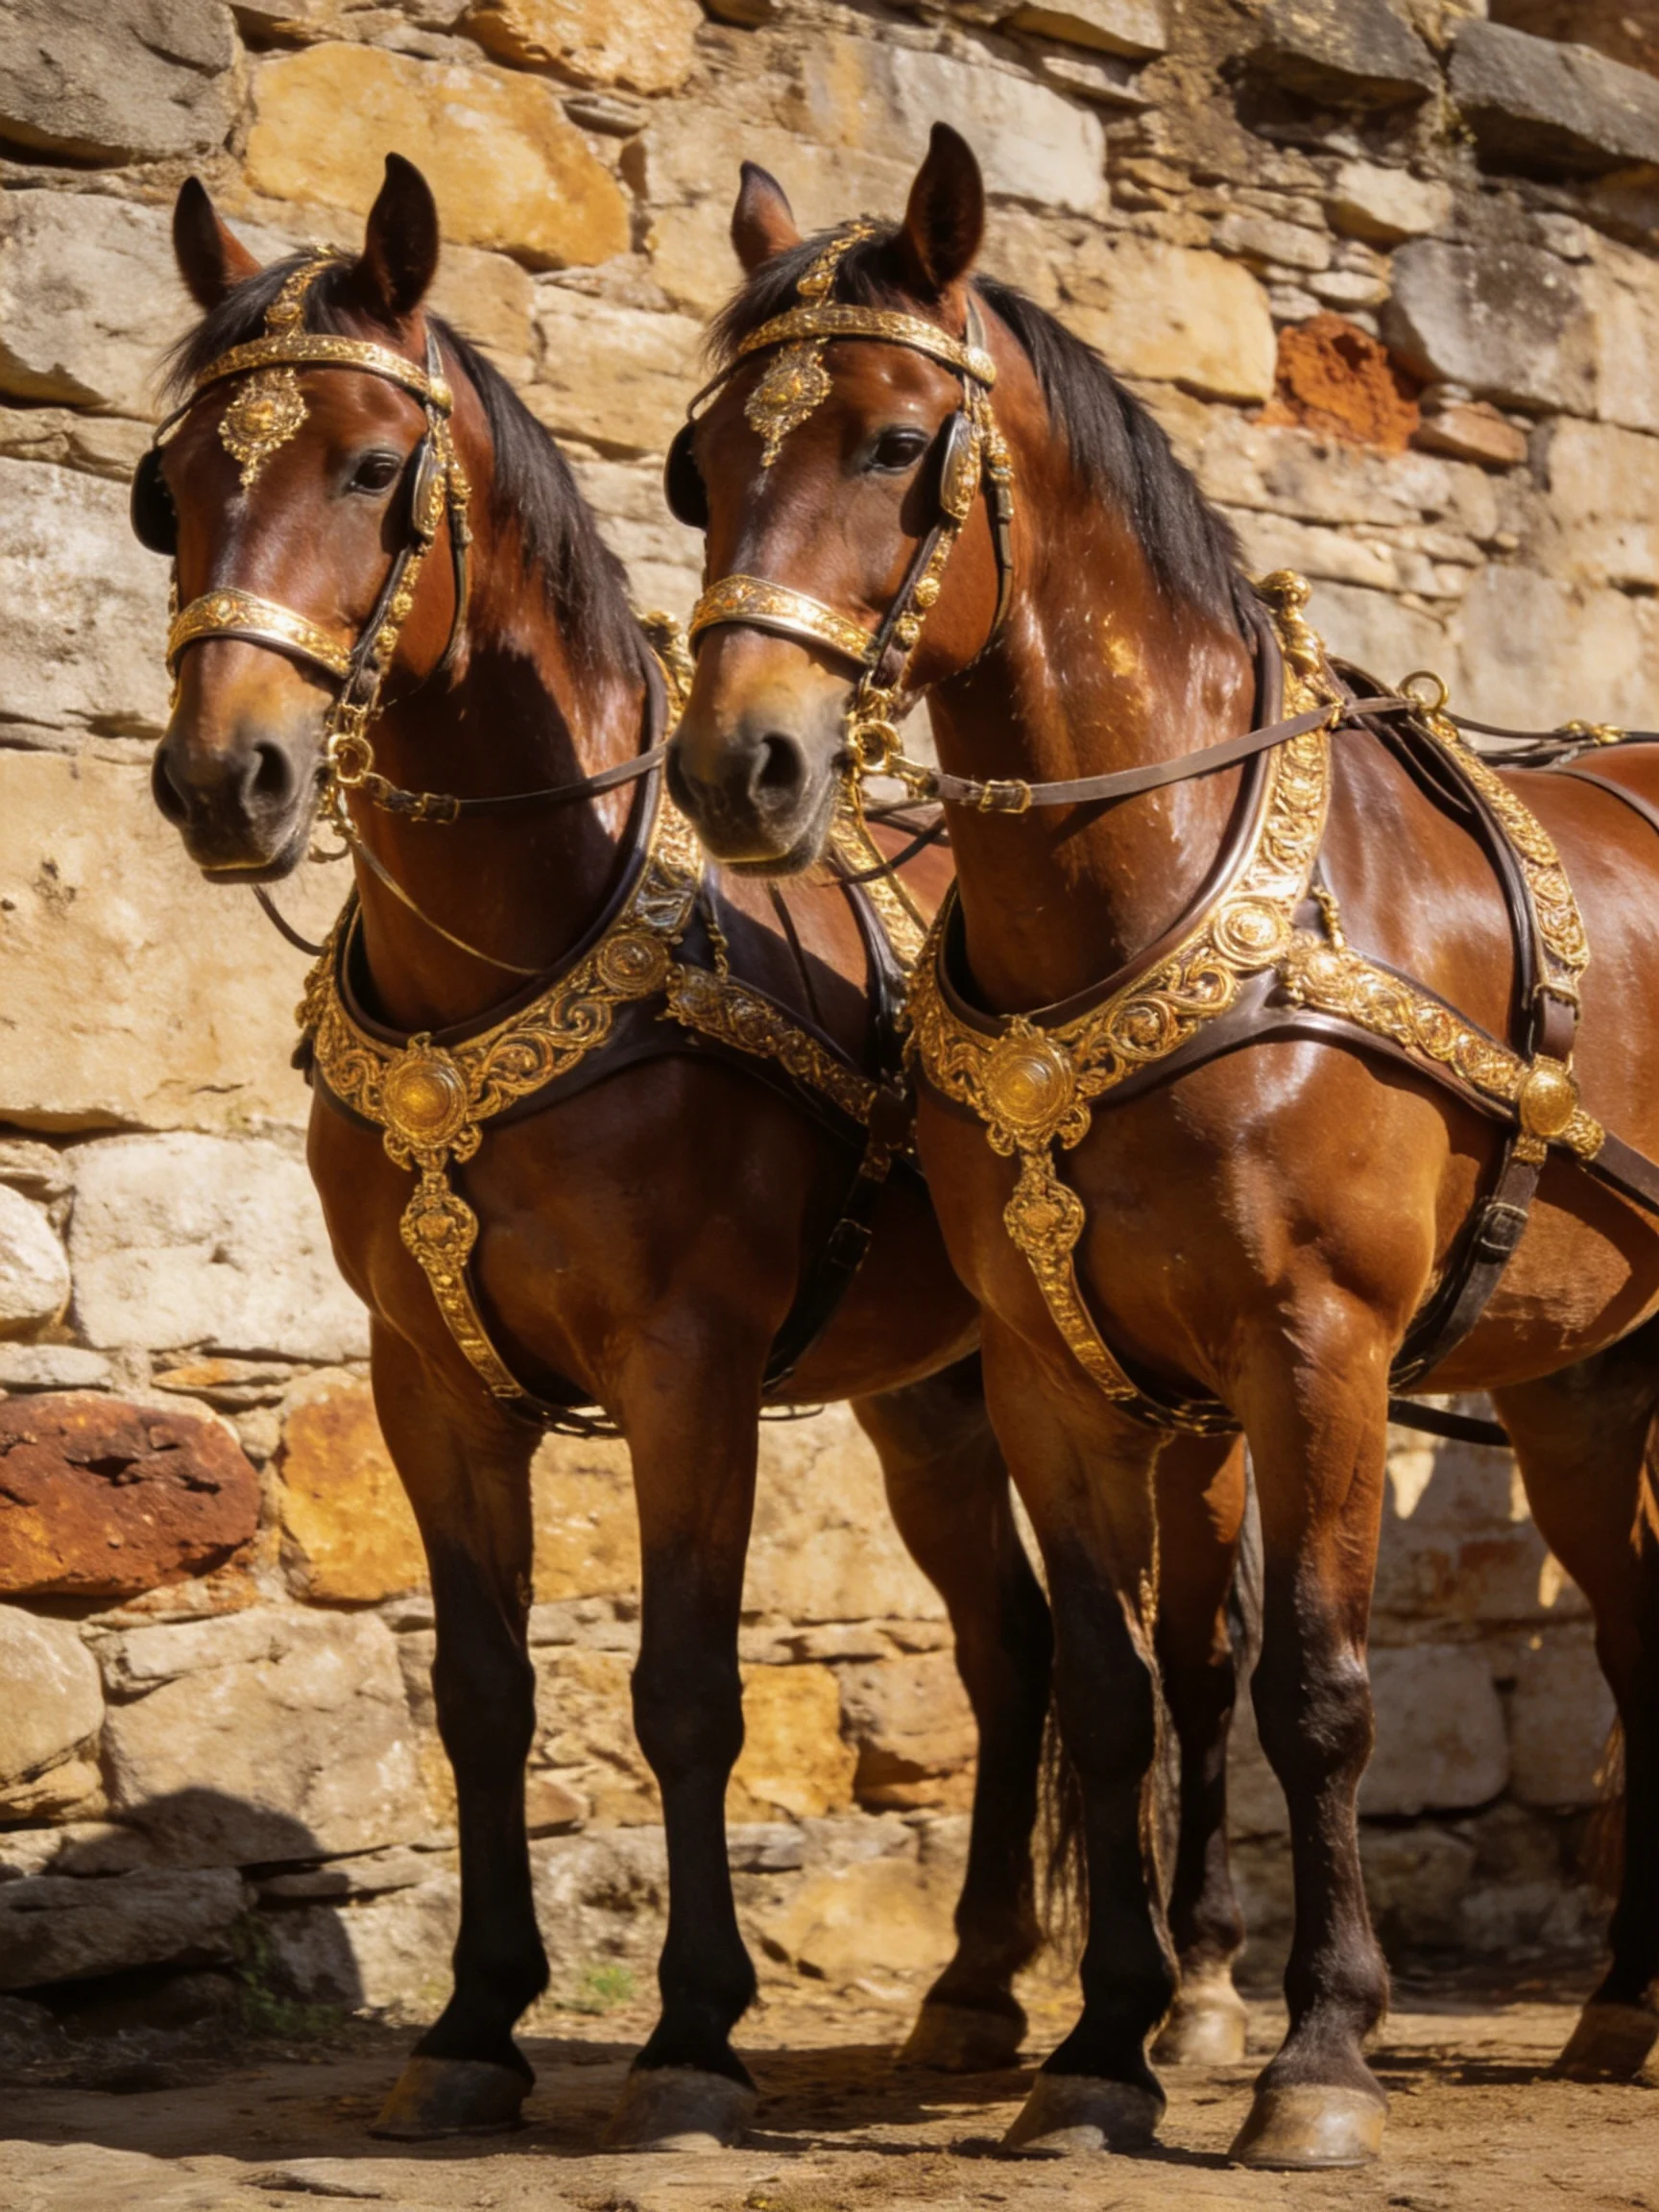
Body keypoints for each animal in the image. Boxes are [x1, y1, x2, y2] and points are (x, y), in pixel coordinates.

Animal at [133, 154, 1074, 2148]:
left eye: (365, 467)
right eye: (171, 488)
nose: (222, 781)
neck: (519, 948)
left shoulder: (686, 1366)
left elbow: (687, 1686)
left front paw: (693, 2027)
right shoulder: (427, 1374)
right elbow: (482, 1690)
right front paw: (477, 2017)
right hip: (935, 1386)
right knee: (1013, 1637)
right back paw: (970, 1986)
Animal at [668, 125, 1659, 2168]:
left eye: (896, 443)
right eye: (701, 462)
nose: (740, 765)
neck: (1145, 909)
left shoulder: (1319, 1350)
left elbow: (1317, 1688)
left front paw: (1319, 2049)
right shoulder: (1051, 1371)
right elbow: (1112, 1690)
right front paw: (1100, 2046)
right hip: (1579, 1383)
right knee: (1631, 1631)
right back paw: (1620, 1995)